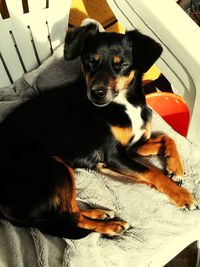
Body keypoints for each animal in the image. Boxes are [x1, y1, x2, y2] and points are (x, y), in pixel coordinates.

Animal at [0, 22, 197, 239]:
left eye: (121, 64)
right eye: (89, 61)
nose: (96, 93)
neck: (124, 103)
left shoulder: (132, 147)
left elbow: (166, 137)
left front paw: (175, 168)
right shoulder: (115, 156)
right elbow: (153, 172)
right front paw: (182, 195)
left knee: (71, 212)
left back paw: (100, 212)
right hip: (57, 166)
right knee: (70, 217)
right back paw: (112, 226)